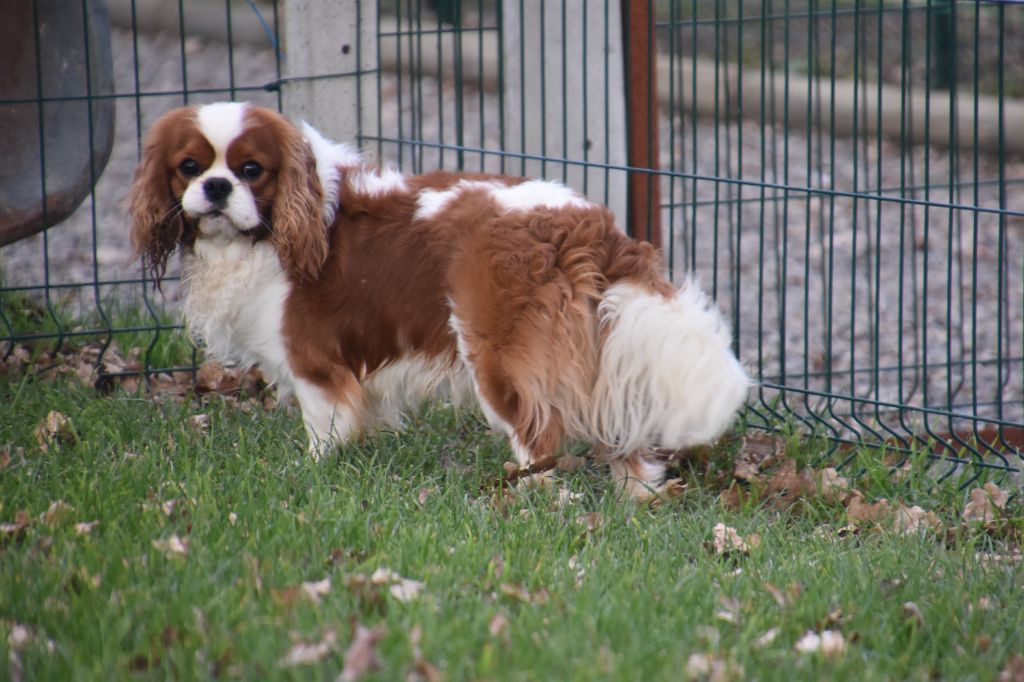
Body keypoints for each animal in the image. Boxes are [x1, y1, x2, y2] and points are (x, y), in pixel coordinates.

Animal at [130, 100, 753, 493]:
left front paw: (311, 471)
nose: (215, 187)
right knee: (623, 437)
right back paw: (637, 500)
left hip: (498, 356)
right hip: (591, 350)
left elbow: (322, 426)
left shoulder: (313, 363)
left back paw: (529, 501)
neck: (276, 228)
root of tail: (588, 225)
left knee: (540, 438)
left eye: (251, 170)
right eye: (189, 167)